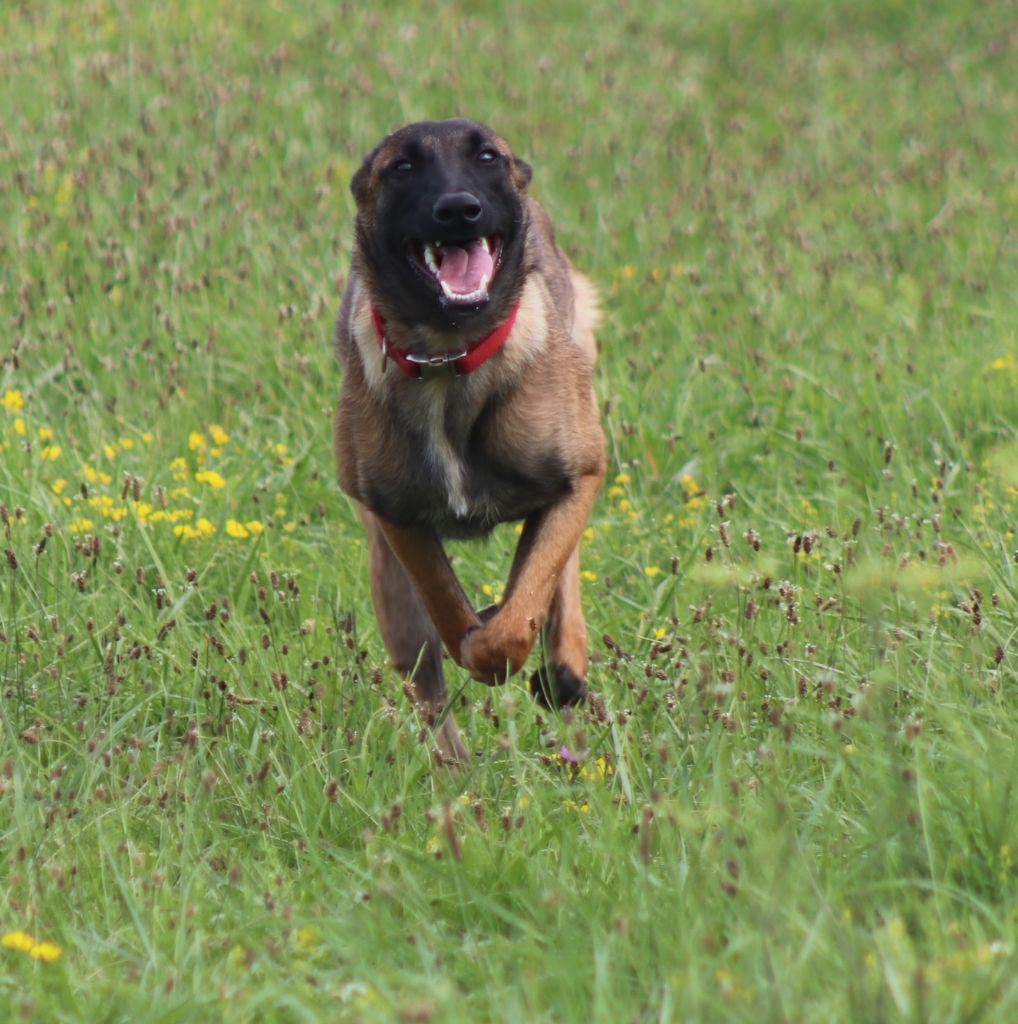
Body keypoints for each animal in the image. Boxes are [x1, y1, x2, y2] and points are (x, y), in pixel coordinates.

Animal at [333, 117, 602, 761]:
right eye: (402, 167)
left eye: (487, 157)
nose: (458, 209)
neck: (446, 356)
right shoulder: (397, 517)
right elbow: (448, 608)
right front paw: (477, 636)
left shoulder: (580, 474)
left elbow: (525, 602)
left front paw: (506, 645)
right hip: (388, 583)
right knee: (428, 685)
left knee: (559, 578)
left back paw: (563, 671)